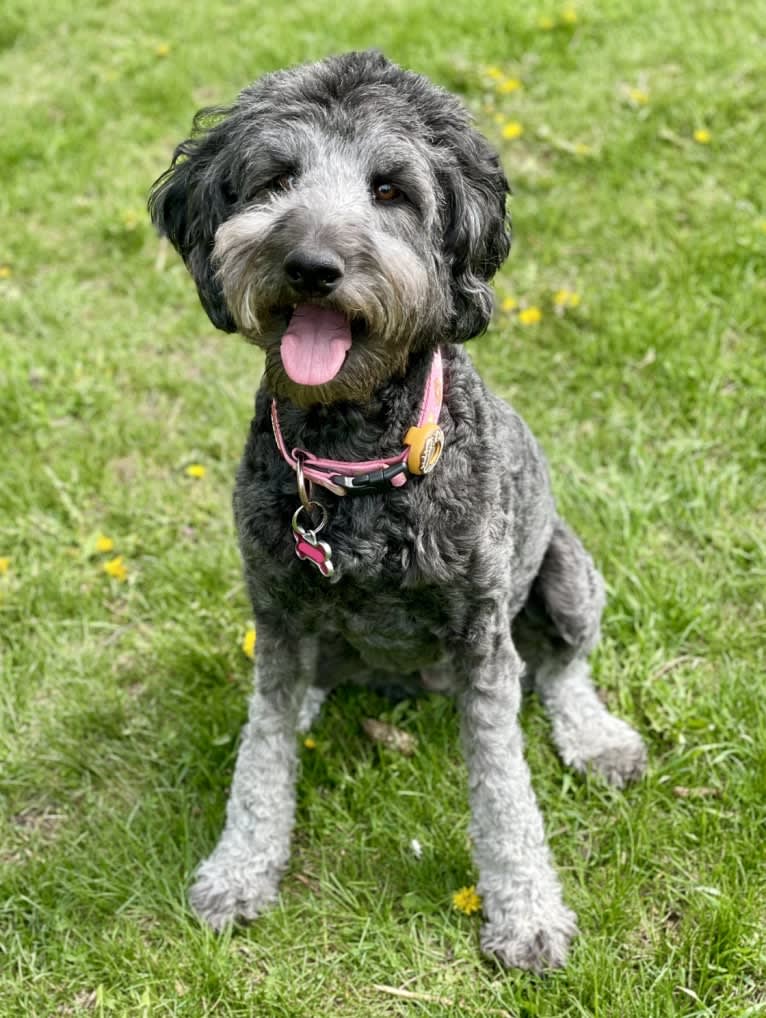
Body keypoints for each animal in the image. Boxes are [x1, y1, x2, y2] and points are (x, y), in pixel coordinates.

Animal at [149, 47, 647, 969]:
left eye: (391, 190)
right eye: (276, 178)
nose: (311, 264)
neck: (354, 469)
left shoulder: (482, 640)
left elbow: (504, 790)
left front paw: (525, 913)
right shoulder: (276, 610)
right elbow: (262, 756)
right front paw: (241, 867)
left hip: (565, 574)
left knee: (561, 670)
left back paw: (596, 737)